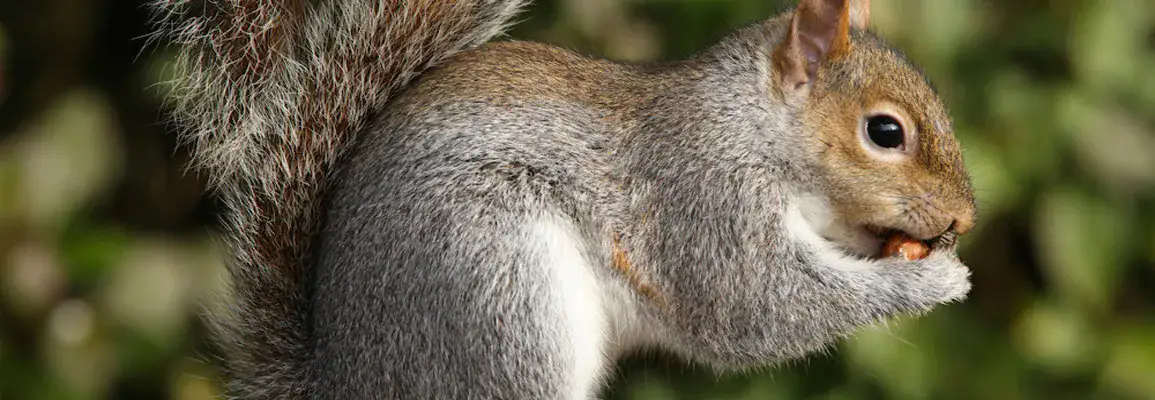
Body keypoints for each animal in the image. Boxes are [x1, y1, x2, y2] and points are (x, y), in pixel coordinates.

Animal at [153, 0, 978, 398]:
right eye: (883, 132)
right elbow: (756, 306)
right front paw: (931, 280)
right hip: (498, 289)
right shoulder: (702, 199)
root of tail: (343, 379)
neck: (749, 126)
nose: (964, 218)